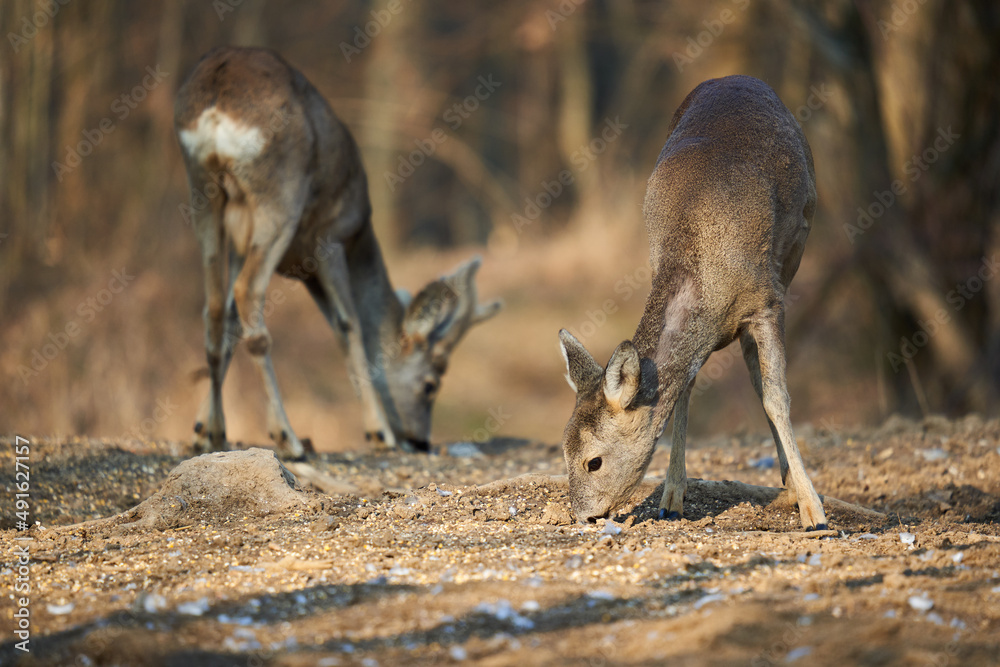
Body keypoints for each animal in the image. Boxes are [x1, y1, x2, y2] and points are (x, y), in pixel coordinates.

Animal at [173, 46, 501, 458]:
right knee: (247, 292)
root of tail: (218, 97)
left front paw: (204, 427)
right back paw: (288, 438)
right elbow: (348, 325)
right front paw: (379, 432)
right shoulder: (329, 237)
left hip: (204, 192)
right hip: (278, 194)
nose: (420, 441)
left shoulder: (251, 243)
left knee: (216, 305)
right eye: (431, 385)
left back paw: (215, 437)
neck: (362, 237)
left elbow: (231, 321)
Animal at [558, 75, 828, 531]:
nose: (584, 516)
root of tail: (738, 78)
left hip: (795, 249)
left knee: (762, 382)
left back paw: (794, 488)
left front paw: (814, 511)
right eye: (562, 449)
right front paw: (671, 498)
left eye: (593, 461)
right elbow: (682, 391)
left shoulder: (767, 301)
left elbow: (777, 398)